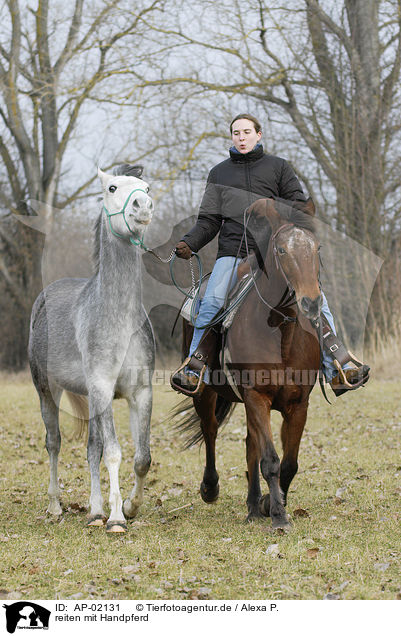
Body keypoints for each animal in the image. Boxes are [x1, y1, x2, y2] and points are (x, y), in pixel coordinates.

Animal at [28, 165, 155, 532]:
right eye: (112, 188)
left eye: (145, 187)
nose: (143, 206)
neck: (117, 317)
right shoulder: (101, 387)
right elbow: (113, 451)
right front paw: (116, 519)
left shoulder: (140, 392)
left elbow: (141, 457)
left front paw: (129, 506)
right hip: (47, 390)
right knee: (54, 443)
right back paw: (56, 506)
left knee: (91, 448)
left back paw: (95, 511)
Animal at [175, 199, 322, 532]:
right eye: (281, 250)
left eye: (316, 247)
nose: (311, 302)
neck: (280, 334)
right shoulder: (256, 397)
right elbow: (270, 460)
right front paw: (279, 515)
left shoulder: (299, 405)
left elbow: (289, 463)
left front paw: (270, 503)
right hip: (205, 392)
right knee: (210, 430)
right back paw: (210, 488)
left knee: (248, 445)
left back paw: (254, 506)